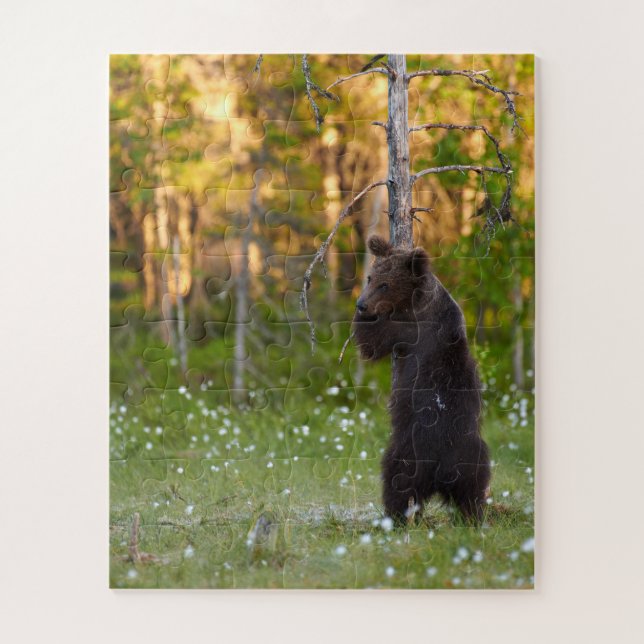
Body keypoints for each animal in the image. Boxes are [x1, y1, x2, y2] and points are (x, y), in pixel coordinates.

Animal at [352, 235, 491, 525]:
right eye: (370, 277)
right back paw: (473, 517)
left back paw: (394, 517)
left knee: (397, 479)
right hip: (473, 455)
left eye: (385, 284)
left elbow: (373, 341)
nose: (362, 304)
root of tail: (443, 471)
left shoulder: (409, 328)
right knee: (473, 487)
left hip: (411, 451)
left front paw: (364, 321)